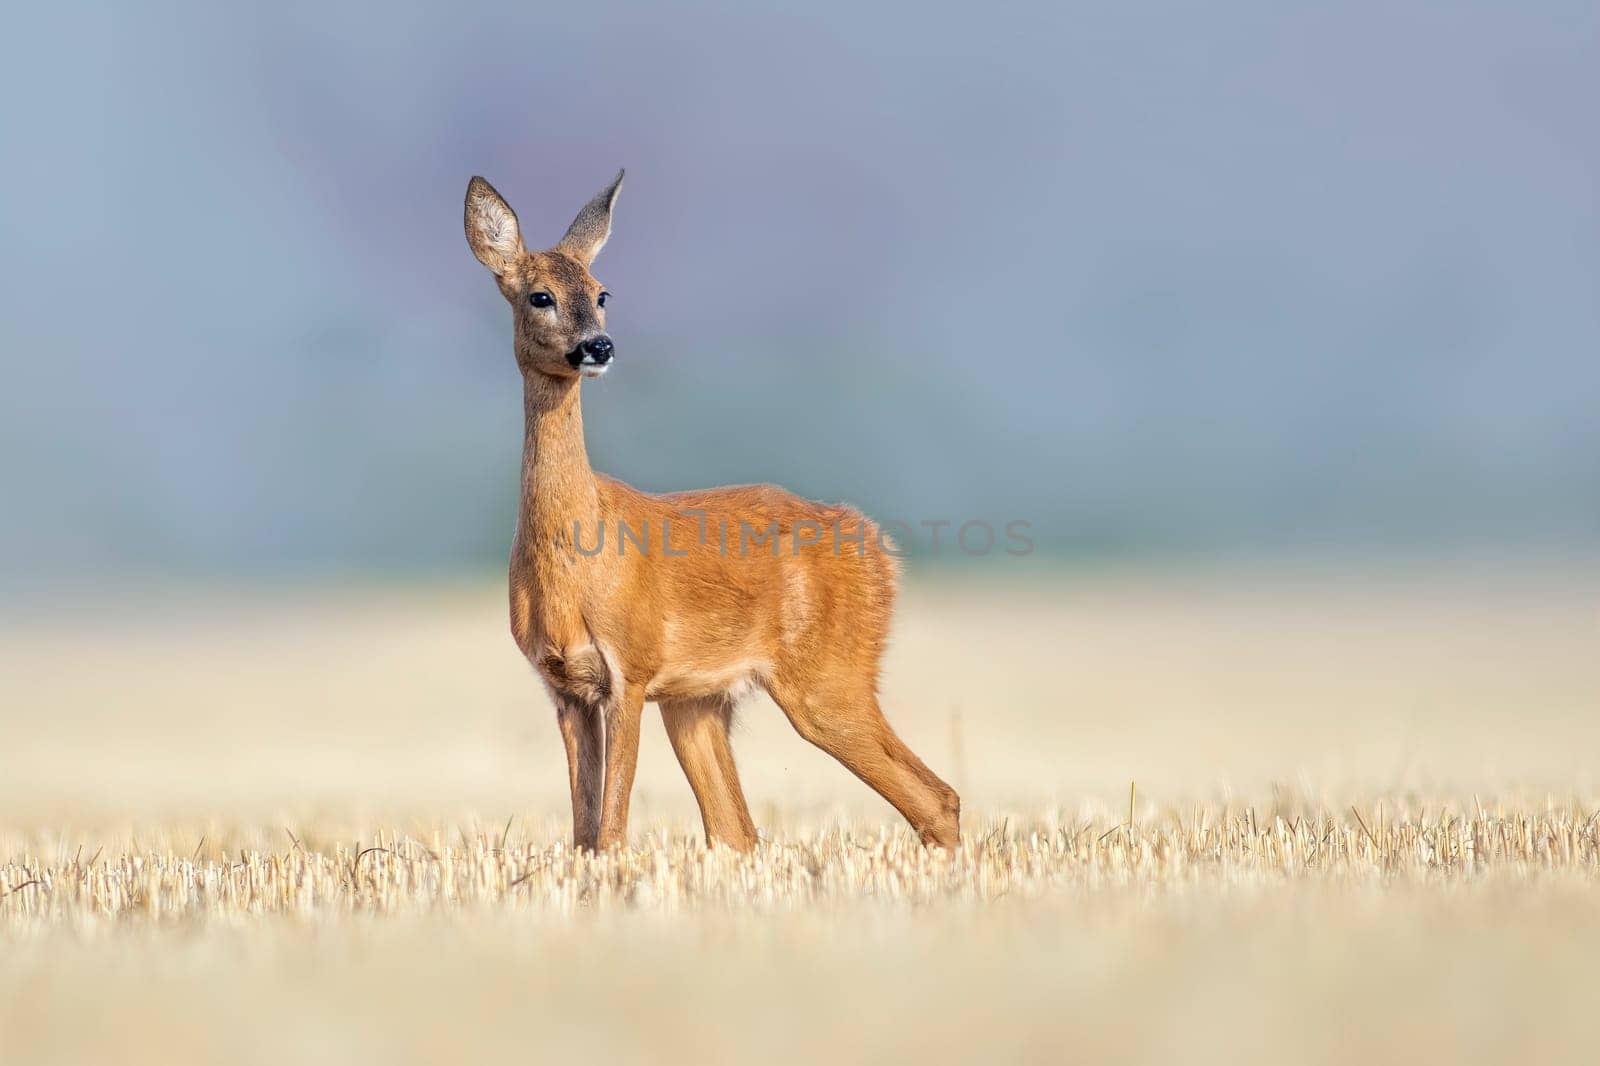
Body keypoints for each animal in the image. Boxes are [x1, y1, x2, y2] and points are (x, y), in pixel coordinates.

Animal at [464, 170, 960, 851]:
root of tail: (875, 545)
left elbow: (613, 828)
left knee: (936, 798)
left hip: (828, 679)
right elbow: (586, 832)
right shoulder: (565, 686)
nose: (598, 346)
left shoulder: (631, 668)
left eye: (602, 292)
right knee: (738, 830)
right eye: (540, 296)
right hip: (700, 703)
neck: (576, 556)